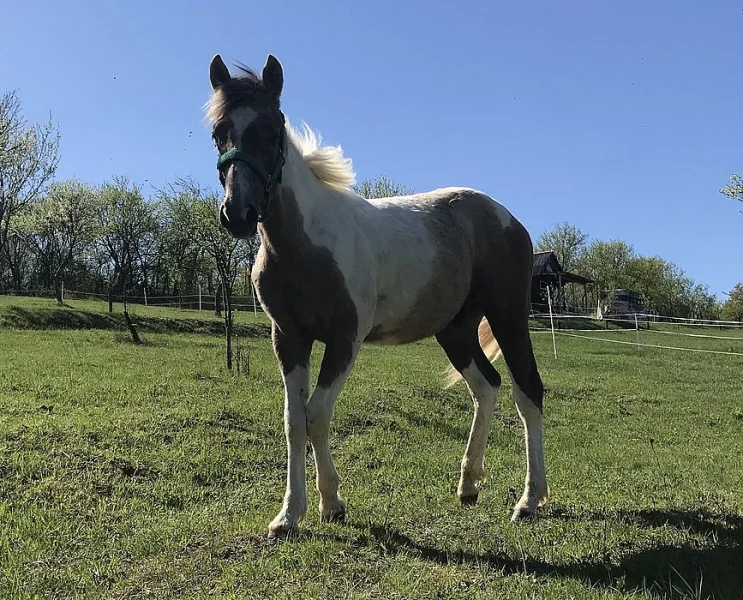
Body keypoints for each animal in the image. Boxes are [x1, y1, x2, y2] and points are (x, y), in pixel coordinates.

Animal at [205, 54, 548, 538]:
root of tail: (508, 219)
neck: (305, 244)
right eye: (219, 133)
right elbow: (294, 421)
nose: (238, 214)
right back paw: (468, 485)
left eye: (272, 131)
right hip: (455, 329)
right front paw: (289, 515)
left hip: (508, 315)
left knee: (527, 391)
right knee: (487, 386)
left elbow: (317, 415)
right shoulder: (288, 337)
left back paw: (529, 501)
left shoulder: (344, 339)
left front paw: (331, 502)